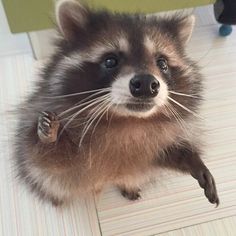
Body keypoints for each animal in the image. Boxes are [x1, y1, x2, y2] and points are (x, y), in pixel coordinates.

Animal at [13, 0, 219, 206]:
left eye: (162, 63)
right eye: (110, 60)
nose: (146, 84)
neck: (128, 120)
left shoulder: (156, 143)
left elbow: (167, 153)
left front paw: (193, 160)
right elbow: (49, 161)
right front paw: (50, 137)